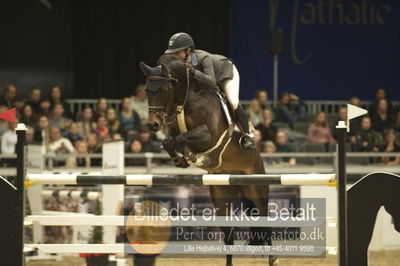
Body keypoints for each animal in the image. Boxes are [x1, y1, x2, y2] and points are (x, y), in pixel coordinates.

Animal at [141, 54, 278, 266]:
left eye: (163, 90)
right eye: (147, 90)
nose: (152, 125)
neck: (185, 99)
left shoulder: (209, 136)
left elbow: (182, 139)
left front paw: (194, 157)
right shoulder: (173, 130)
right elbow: (170, 140)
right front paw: (182, 160)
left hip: (257, 190)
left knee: (266, 223)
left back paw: (273, 259)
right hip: (222, 195)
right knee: (228, 235)